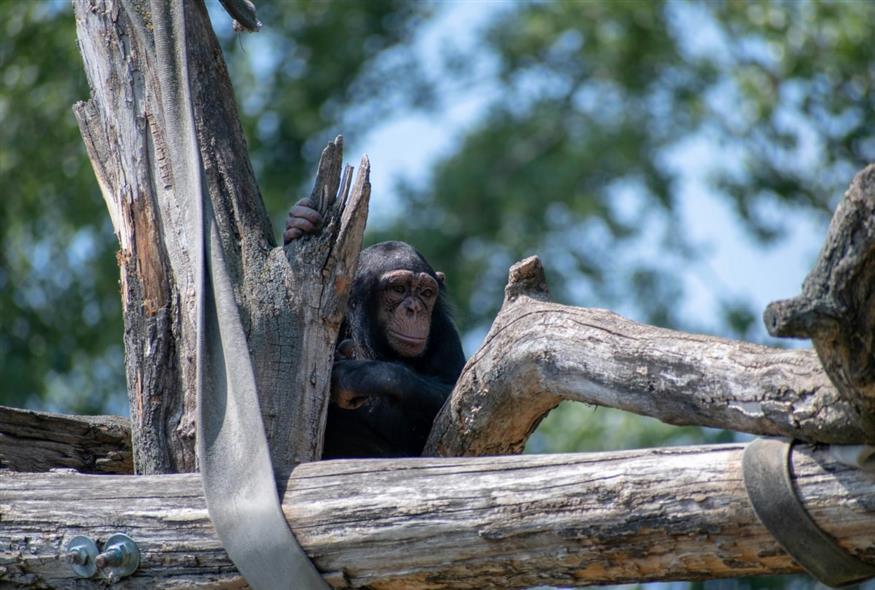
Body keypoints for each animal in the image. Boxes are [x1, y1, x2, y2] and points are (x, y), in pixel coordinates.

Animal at [286, 201, 466, 460]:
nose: (414, 308)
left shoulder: (445, 332)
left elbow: (455, 392)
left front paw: (363, 374)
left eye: (426, 293)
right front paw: (300, 222)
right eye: (399, 289)